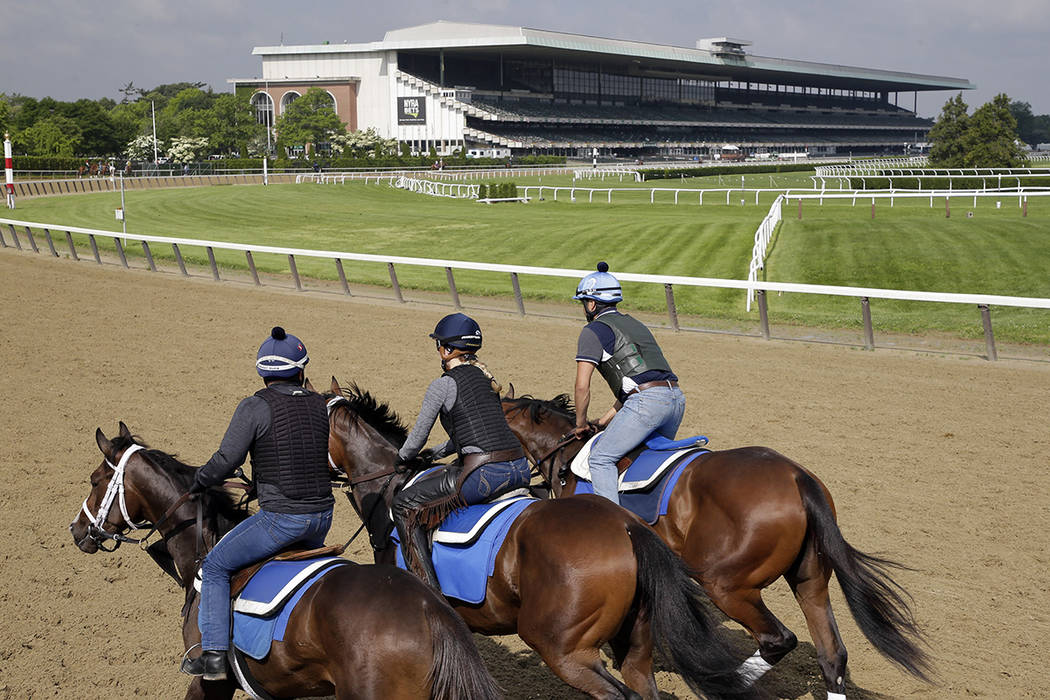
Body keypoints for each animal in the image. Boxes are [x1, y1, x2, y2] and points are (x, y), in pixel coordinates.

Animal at [503, 392, 932, 696]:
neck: (569, 455)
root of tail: (797, 477)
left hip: (726, 584)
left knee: (778, 640)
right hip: (809, 580)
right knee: (832, 655)